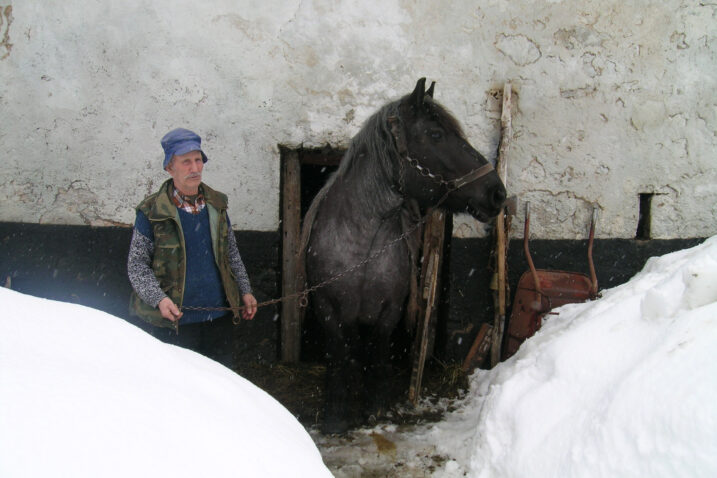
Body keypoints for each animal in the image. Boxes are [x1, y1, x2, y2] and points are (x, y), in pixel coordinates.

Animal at [302, 79, 510, 434]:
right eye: (436, 134)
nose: (497, 193)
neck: (363, 246)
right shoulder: (329, 311)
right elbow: (339, 357)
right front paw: (335, 416)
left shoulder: (388, 313)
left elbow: (377, 355)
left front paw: (374, 409)